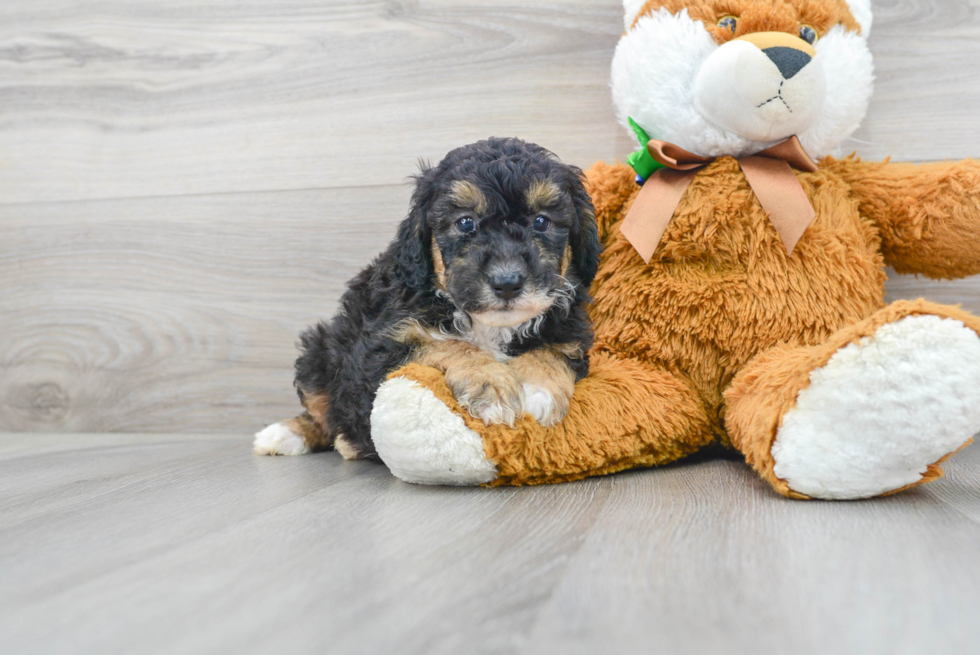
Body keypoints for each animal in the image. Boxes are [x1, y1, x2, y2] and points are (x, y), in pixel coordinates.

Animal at [255, 136, 596, 458]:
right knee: (321, 411)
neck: (489, 326)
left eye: (541, 221)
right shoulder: (380, 349)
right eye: (465, 222)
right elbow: (445, 343)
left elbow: (553, 350)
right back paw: (290, 435)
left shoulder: (571, 329)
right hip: (319, 350)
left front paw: (539, 388)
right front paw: (490, 383)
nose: (507, 282)